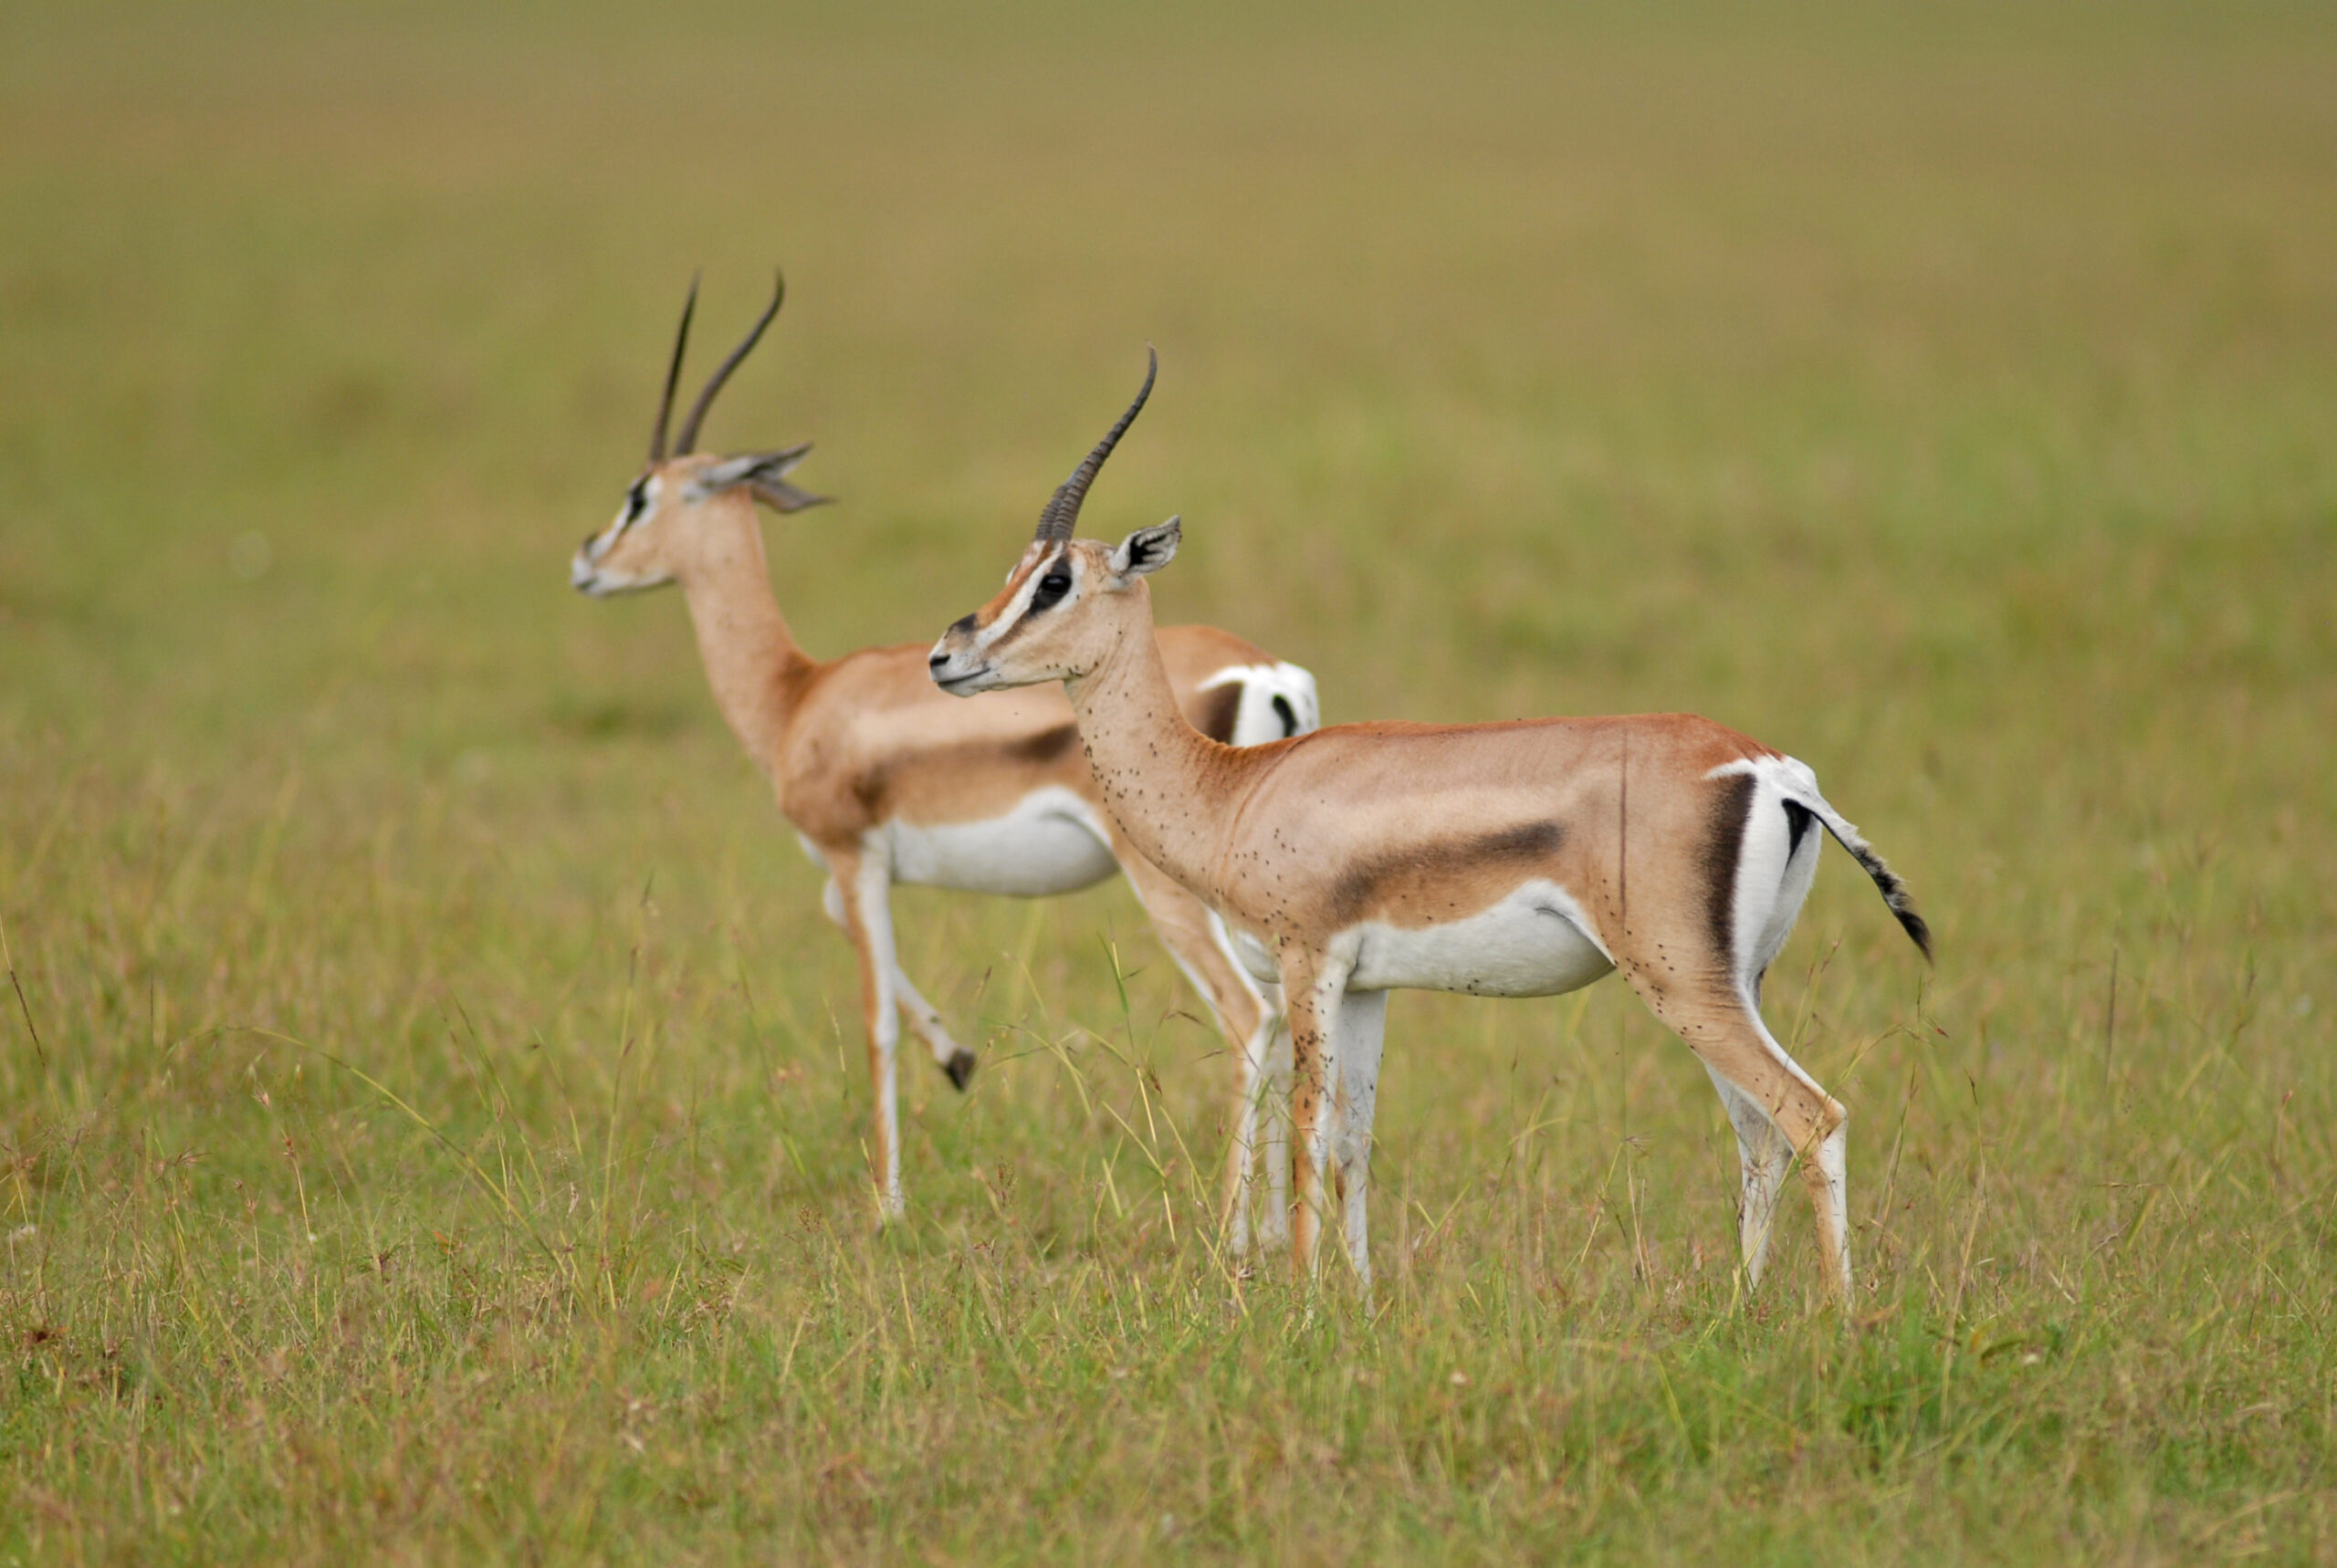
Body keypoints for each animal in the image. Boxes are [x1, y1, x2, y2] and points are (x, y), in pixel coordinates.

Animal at [570, 278, 1317, 1233]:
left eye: (640, 496)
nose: (587, 561)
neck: (799, 696)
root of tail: (1264, 671)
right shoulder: (853, 872)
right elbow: (852, 942)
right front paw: (959, 1058)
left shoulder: (854, 857)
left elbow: (873, 1018)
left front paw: (887, 1207)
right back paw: (1269, 1231)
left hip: (1171, 887)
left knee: (1248, 1016)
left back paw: (1233, 1235)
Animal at [927, 350, 1931, 1300]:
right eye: (1015, 571)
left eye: (1055, 580)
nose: (946, 656)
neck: (1234, 789)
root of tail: (1772, 770)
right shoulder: (1368, 986)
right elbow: (1354, 1142)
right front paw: (1360, 1299)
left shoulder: (1309, 962)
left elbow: (1308, 1126)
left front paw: (1302, 1304)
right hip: (1732, 983)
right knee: (1758, 1134)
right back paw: (1739, 1309)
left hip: (1682, 984)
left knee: (1810, 1115)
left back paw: (1834, 1318)